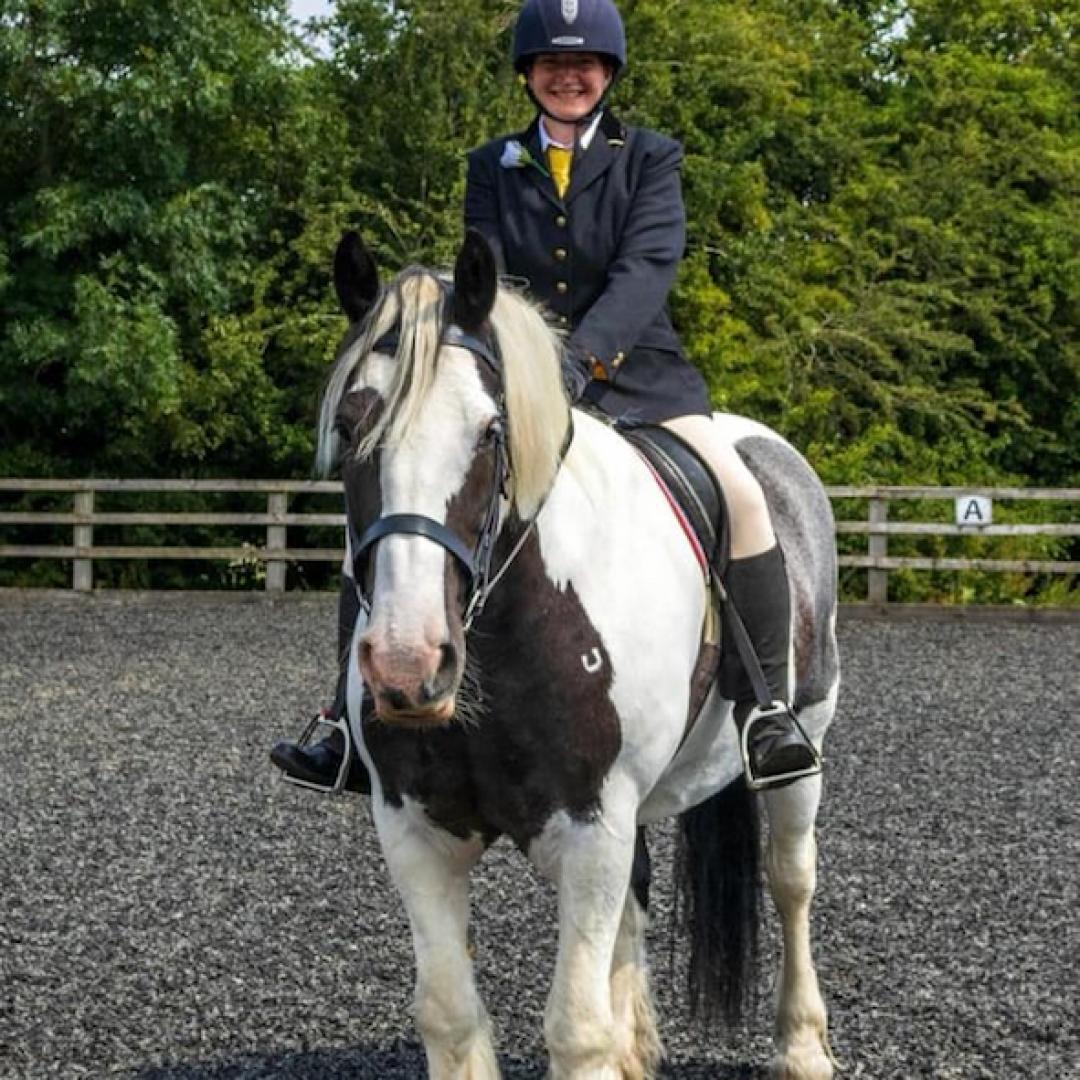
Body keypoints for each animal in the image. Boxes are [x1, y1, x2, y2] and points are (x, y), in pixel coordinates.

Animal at [320, 228, 839, 1080]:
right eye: (352, 425)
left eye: (490, 432)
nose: (408, 665)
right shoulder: (415, 831)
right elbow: (450, 1016)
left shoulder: (594, 824)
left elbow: (575, 1028)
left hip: (805, 738)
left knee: (791, 879)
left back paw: (801, 1045)